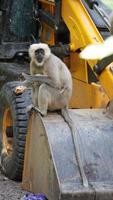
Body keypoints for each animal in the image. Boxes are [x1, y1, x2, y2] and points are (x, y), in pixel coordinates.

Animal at [19, 42, 88, 188]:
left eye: (42, 52)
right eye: (37, 52)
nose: (40, 55)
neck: (42, 62)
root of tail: (66, 103)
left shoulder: (49, 62)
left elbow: (54, 82)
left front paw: (27, 77)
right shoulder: (33, 62)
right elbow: (32, 80)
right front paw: (22, 85)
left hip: (58, 98)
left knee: (43, 85)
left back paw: (42, 111)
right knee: (37, 85)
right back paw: (35, 107)